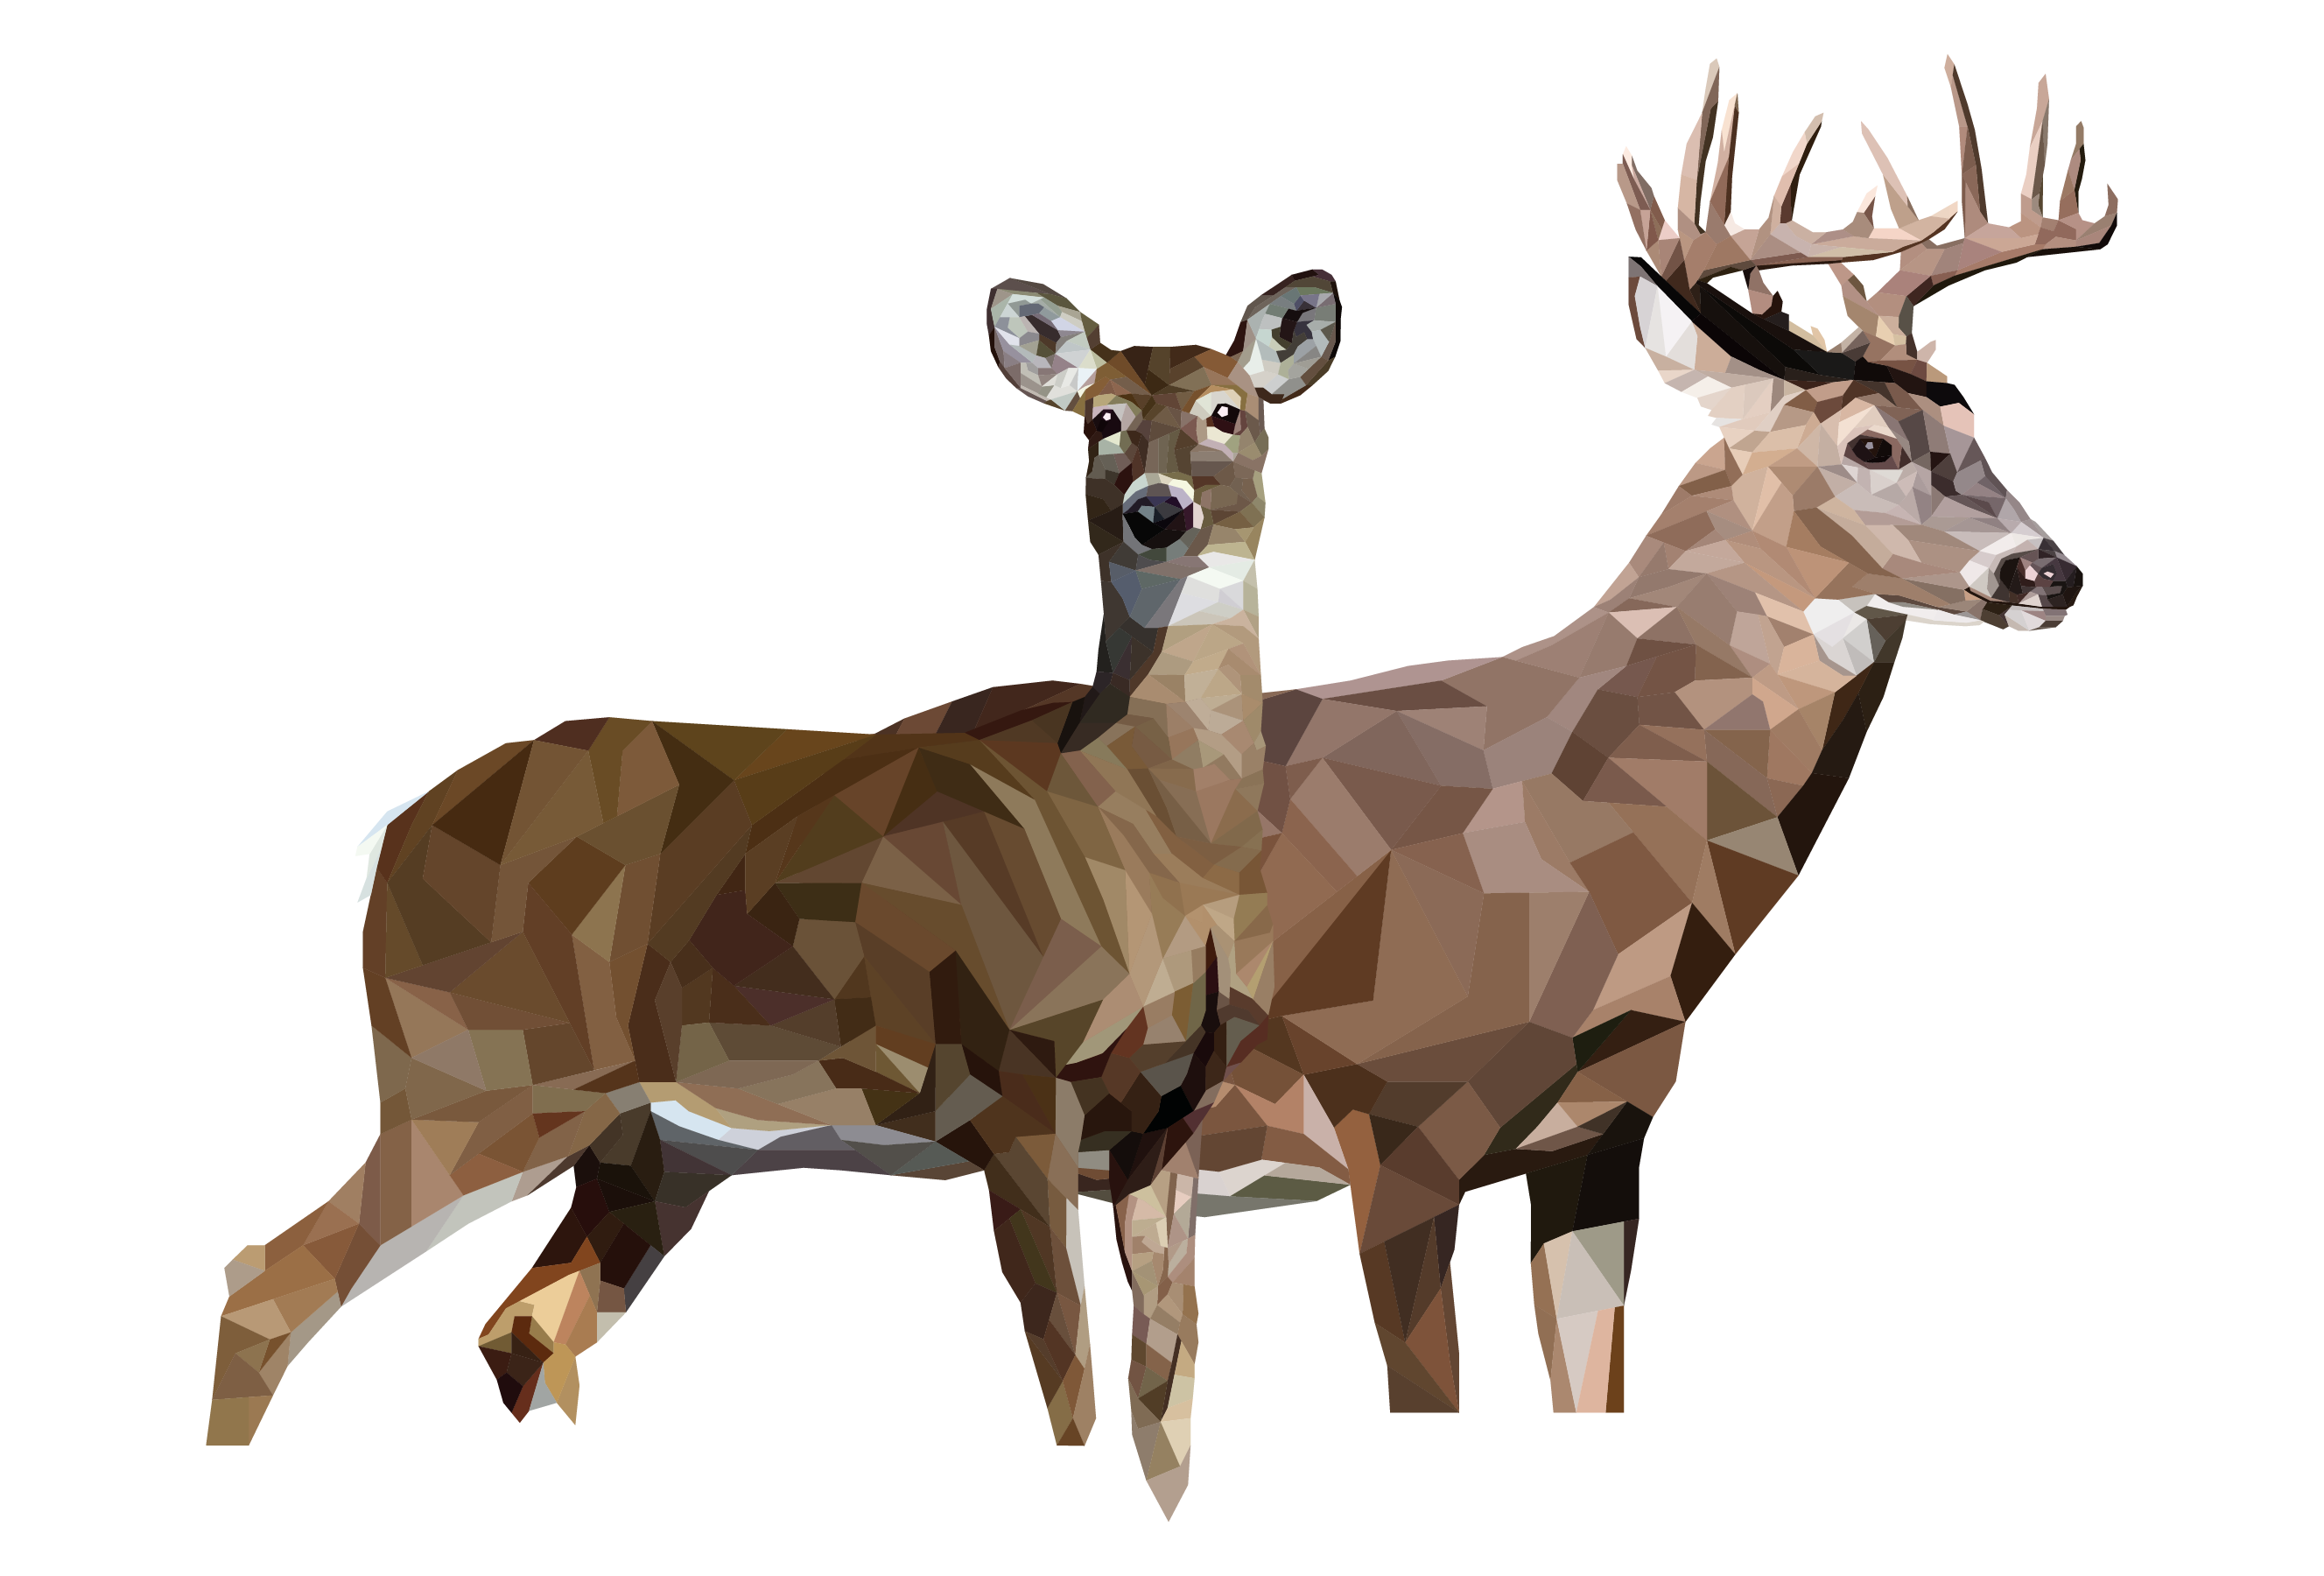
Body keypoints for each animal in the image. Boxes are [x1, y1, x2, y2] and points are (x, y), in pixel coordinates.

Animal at [206, 269, 1343, 1516]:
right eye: (1100, 421)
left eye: (1230, 411)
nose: (1157, 511)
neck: (1146, 841)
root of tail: (391, 837)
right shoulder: (1013, 1078)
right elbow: (1071, 1383)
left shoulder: (1170, 1112)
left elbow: (1166, 1410)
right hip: (475, 1070)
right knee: (266, 1283)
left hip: (644, 1152)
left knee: (520, 1331)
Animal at [884, 60, 2113, 1415]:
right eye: (1872, 444)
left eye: (1982, 428)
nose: (2051, 572)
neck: (1582, 838)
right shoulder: (1397, 1121)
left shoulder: (1601, 1138)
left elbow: (1594, 1384)